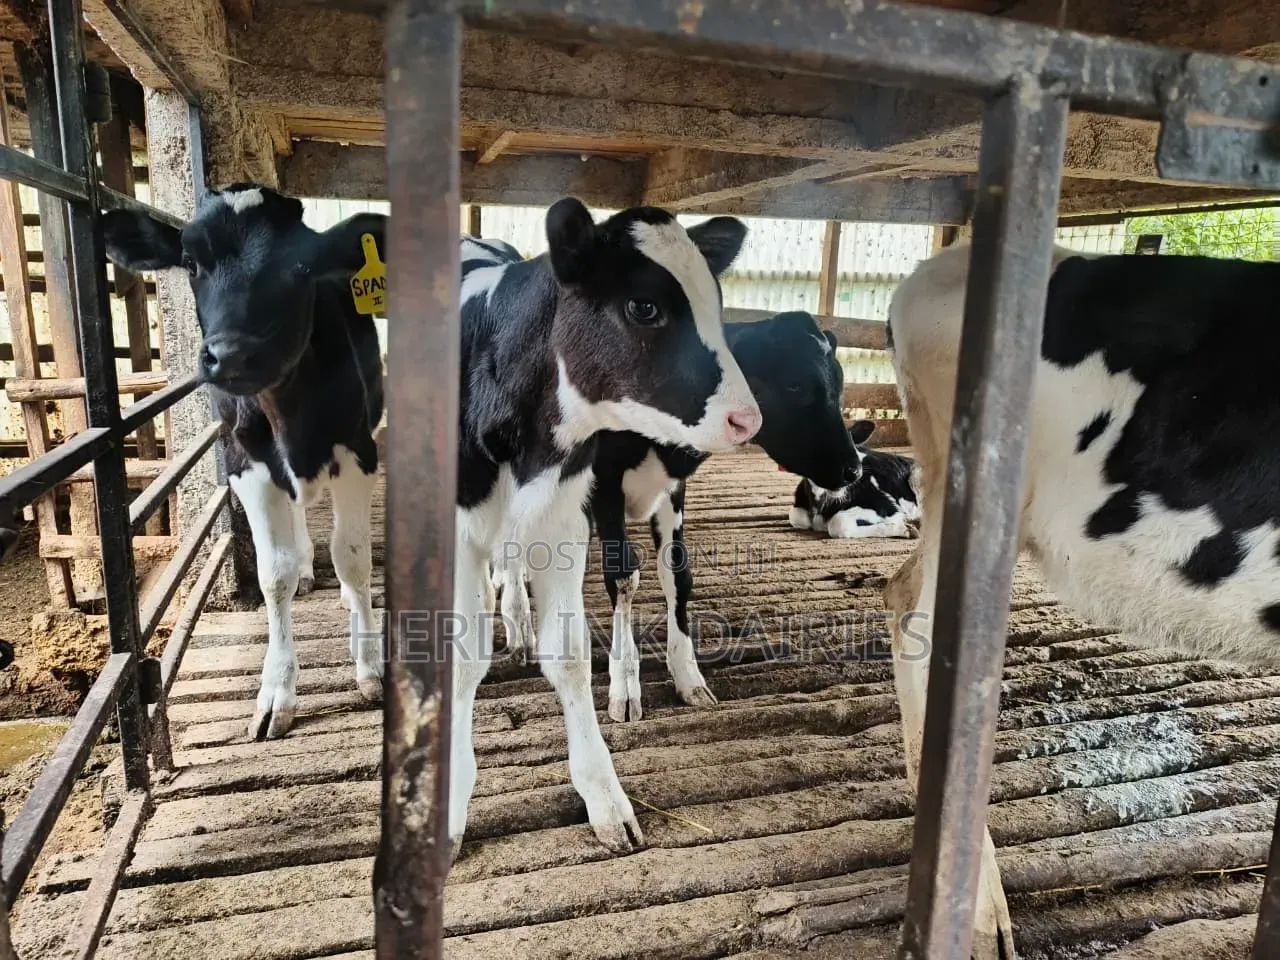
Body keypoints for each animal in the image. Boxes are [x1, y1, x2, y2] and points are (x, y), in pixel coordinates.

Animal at [102, 184, 386, 743]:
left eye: (302, 265)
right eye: (190, 262)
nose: (231, 355)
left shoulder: (359, 449)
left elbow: (353, 556)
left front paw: (367, 667)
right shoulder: (244, 461)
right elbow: (272, 574)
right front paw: (277, 691)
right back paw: (306, 568)